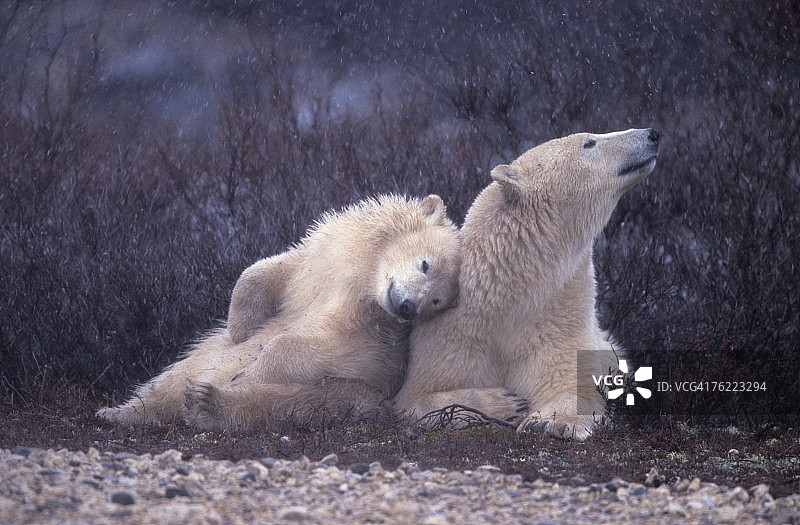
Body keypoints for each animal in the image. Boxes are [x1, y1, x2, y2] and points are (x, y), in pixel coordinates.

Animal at [96, 194, 462, 431]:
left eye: (436, 301)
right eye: (426, 264)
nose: (408, 307)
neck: (366, 279)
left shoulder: (371, 332)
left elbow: (320, 348)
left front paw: (249, 372)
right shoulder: (324, 257)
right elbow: (270, 270)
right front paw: (240, 326)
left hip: (351, 395)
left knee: (288, 402)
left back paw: (207, 403)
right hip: (202, 355)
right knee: (177, 373)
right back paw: (121, 413)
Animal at [393, 128, 660, 440]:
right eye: (589, 142)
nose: (651, 134)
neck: (508, 301)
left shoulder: (558, 322)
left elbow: (570, 383)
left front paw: (550, 421)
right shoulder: (452, 335)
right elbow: (417, 400)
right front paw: (504, 402)